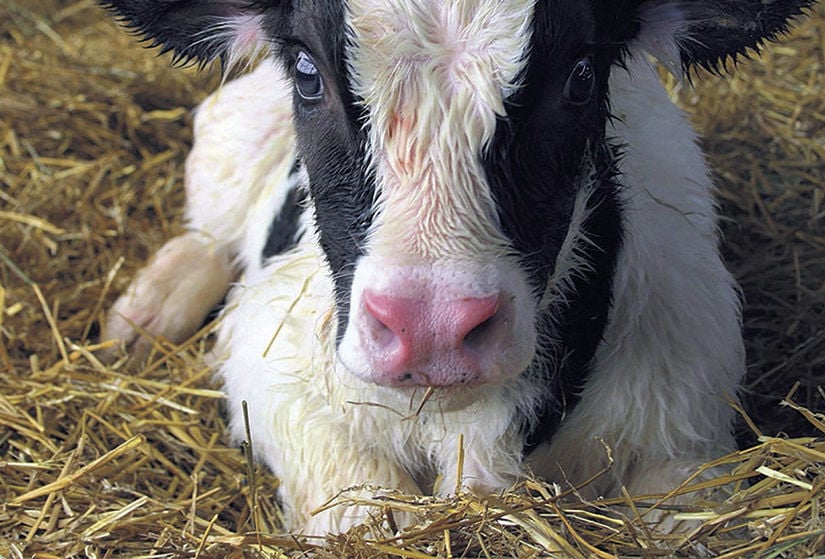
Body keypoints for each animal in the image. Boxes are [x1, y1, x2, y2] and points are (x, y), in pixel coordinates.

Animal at [100, 0, 815, 535]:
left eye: (581, 77)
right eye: (307, 72)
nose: (432, 327)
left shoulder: (690, 429)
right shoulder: (268, 349)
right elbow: (361, 504)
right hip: (231, 135)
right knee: (208, 233)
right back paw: (145, 315)